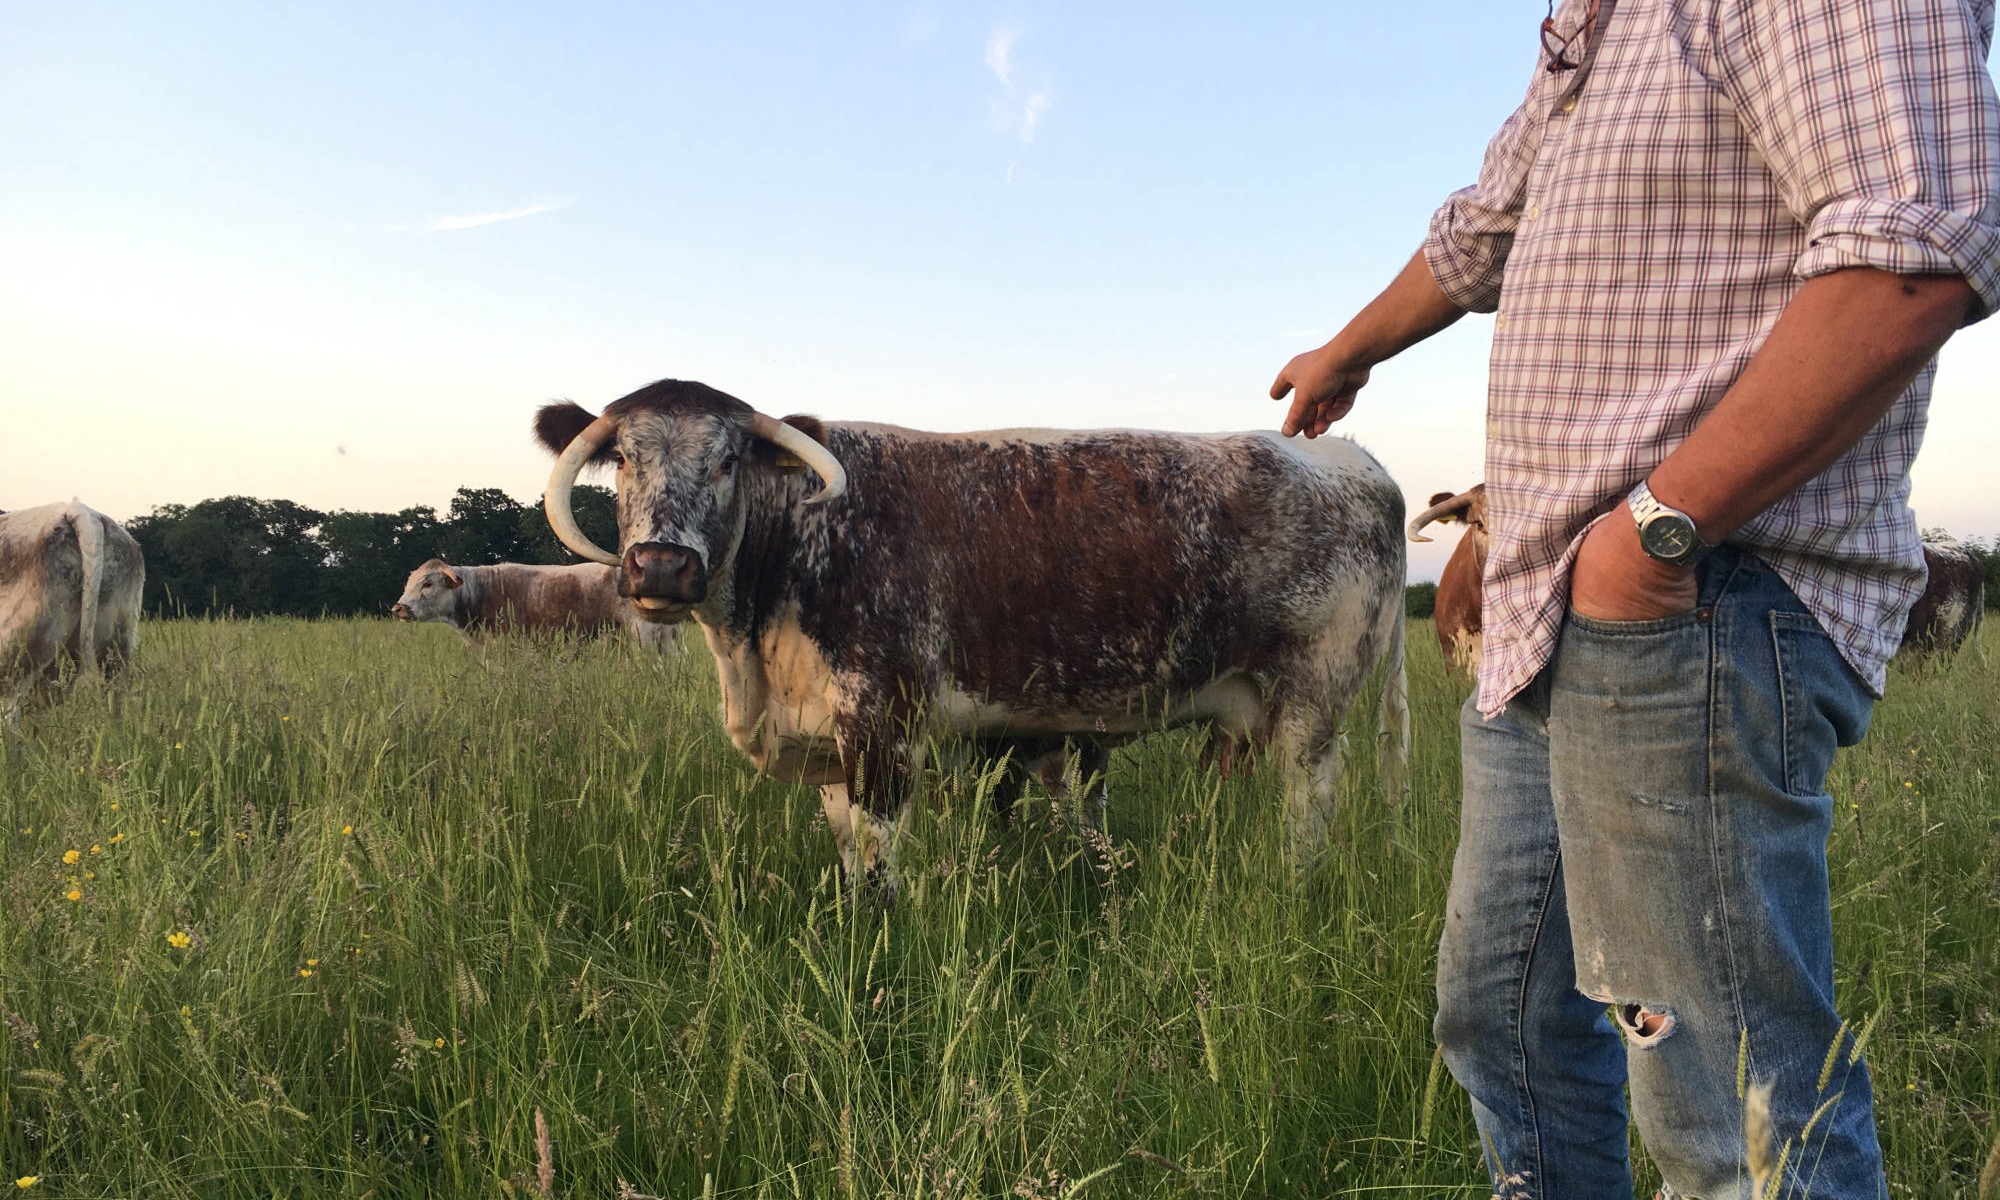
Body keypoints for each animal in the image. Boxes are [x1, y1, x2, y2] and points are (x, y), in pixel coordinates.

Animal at [532, 380, 1408, 896]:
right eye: (621, 459)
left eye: (726, 460)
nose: (662, 566)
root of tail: (1352, 457)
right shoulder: (829, 744)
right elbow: (849, 853)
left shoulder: (882, 726)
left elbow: (881, 863)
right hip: (1243, 716)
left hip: (1313, 703)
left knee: (1308, 806)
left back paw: (1292, 887)